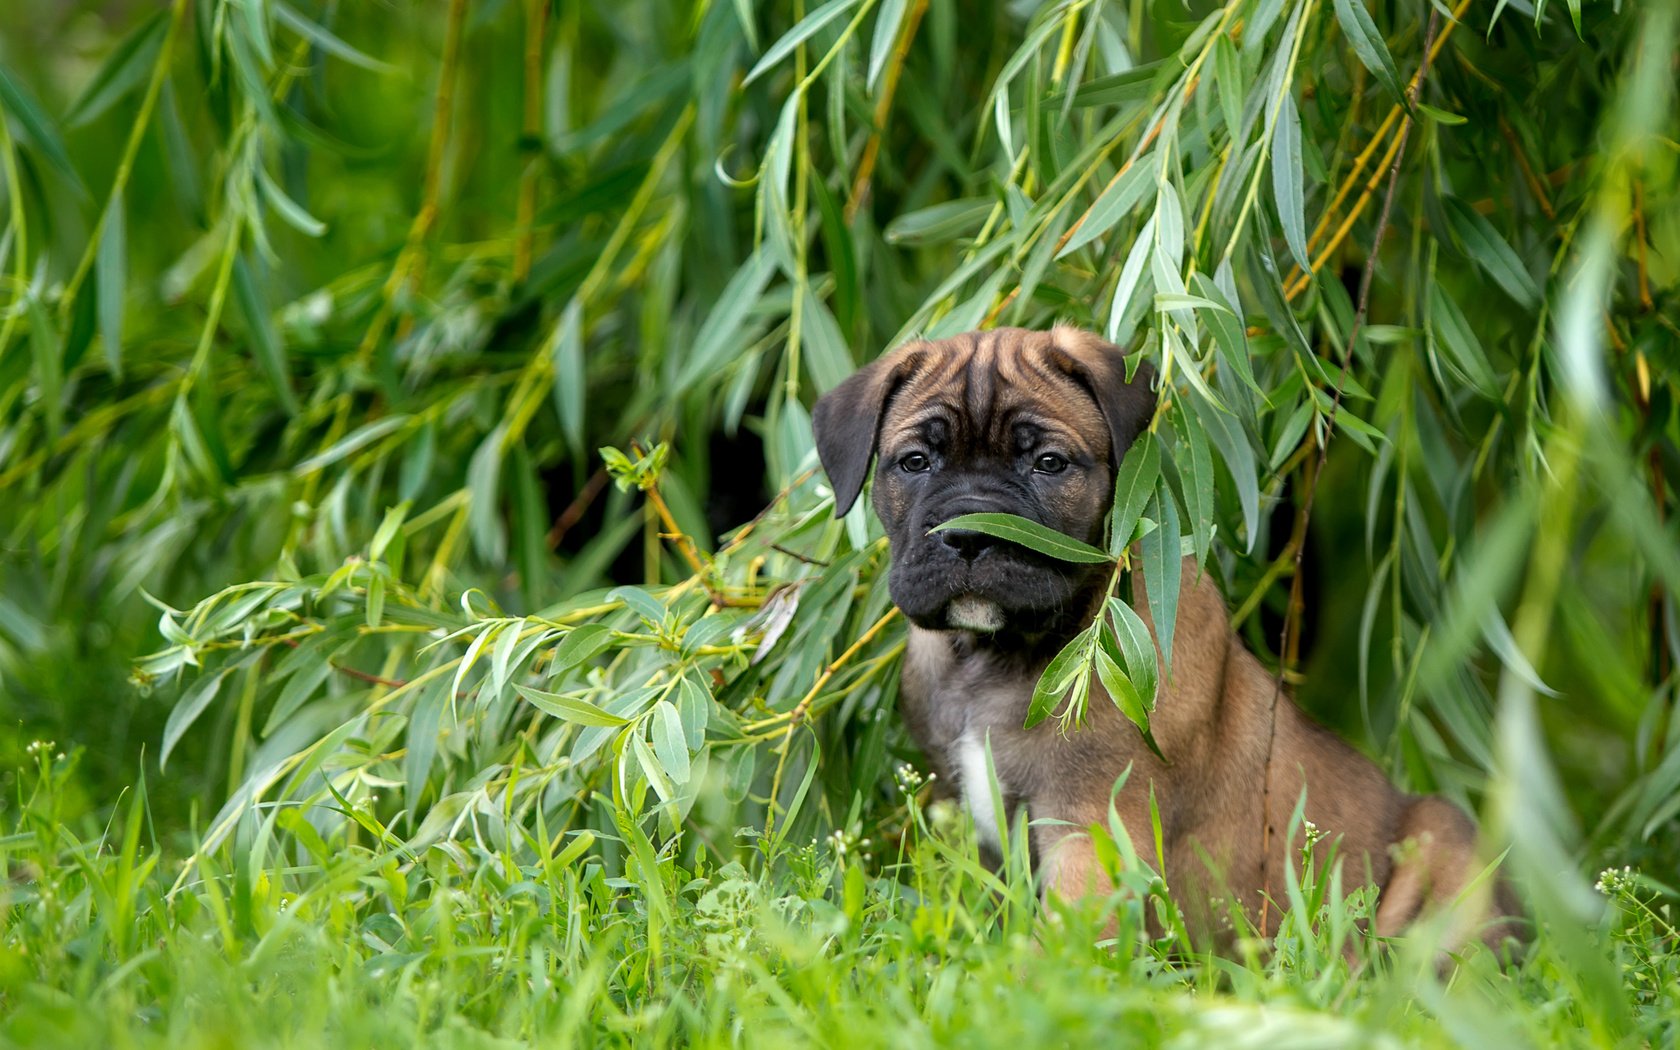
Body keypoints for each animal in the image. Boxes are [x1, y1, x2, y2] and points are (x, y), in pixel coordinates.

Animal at [813, 325, 1525, 947]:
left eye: (1049, 463)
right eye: (914, 462)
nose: (967, 534)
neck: (996, 656)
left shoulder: (1090, 827)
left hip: (1444, 838)